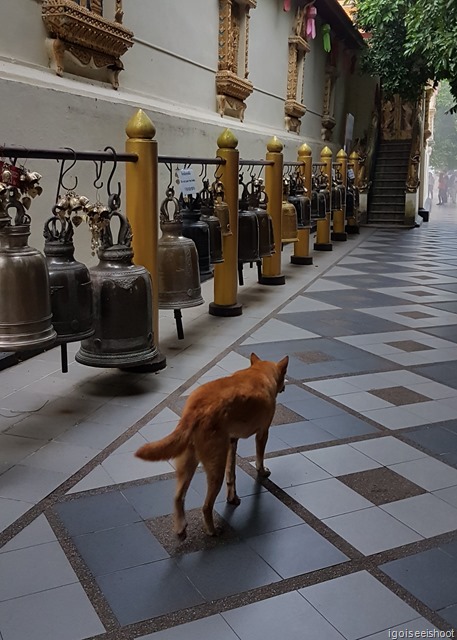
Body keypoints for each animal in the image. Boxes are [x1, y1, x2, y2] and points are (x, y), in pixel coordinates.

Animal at [134, 352, 288, 536]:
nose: (285, 386)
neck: (259, 372)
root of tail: (194, 410)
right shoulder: (263, 433)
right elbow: (259, 458)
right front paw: (262, 471)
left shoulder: (232, 441)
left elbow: (232, 474)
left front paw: (232, 497)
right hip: (215, 468)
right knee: (206, 506)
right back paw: (212, 530)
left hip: (190, 462)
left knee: (178, 497)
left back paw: (180, 527)